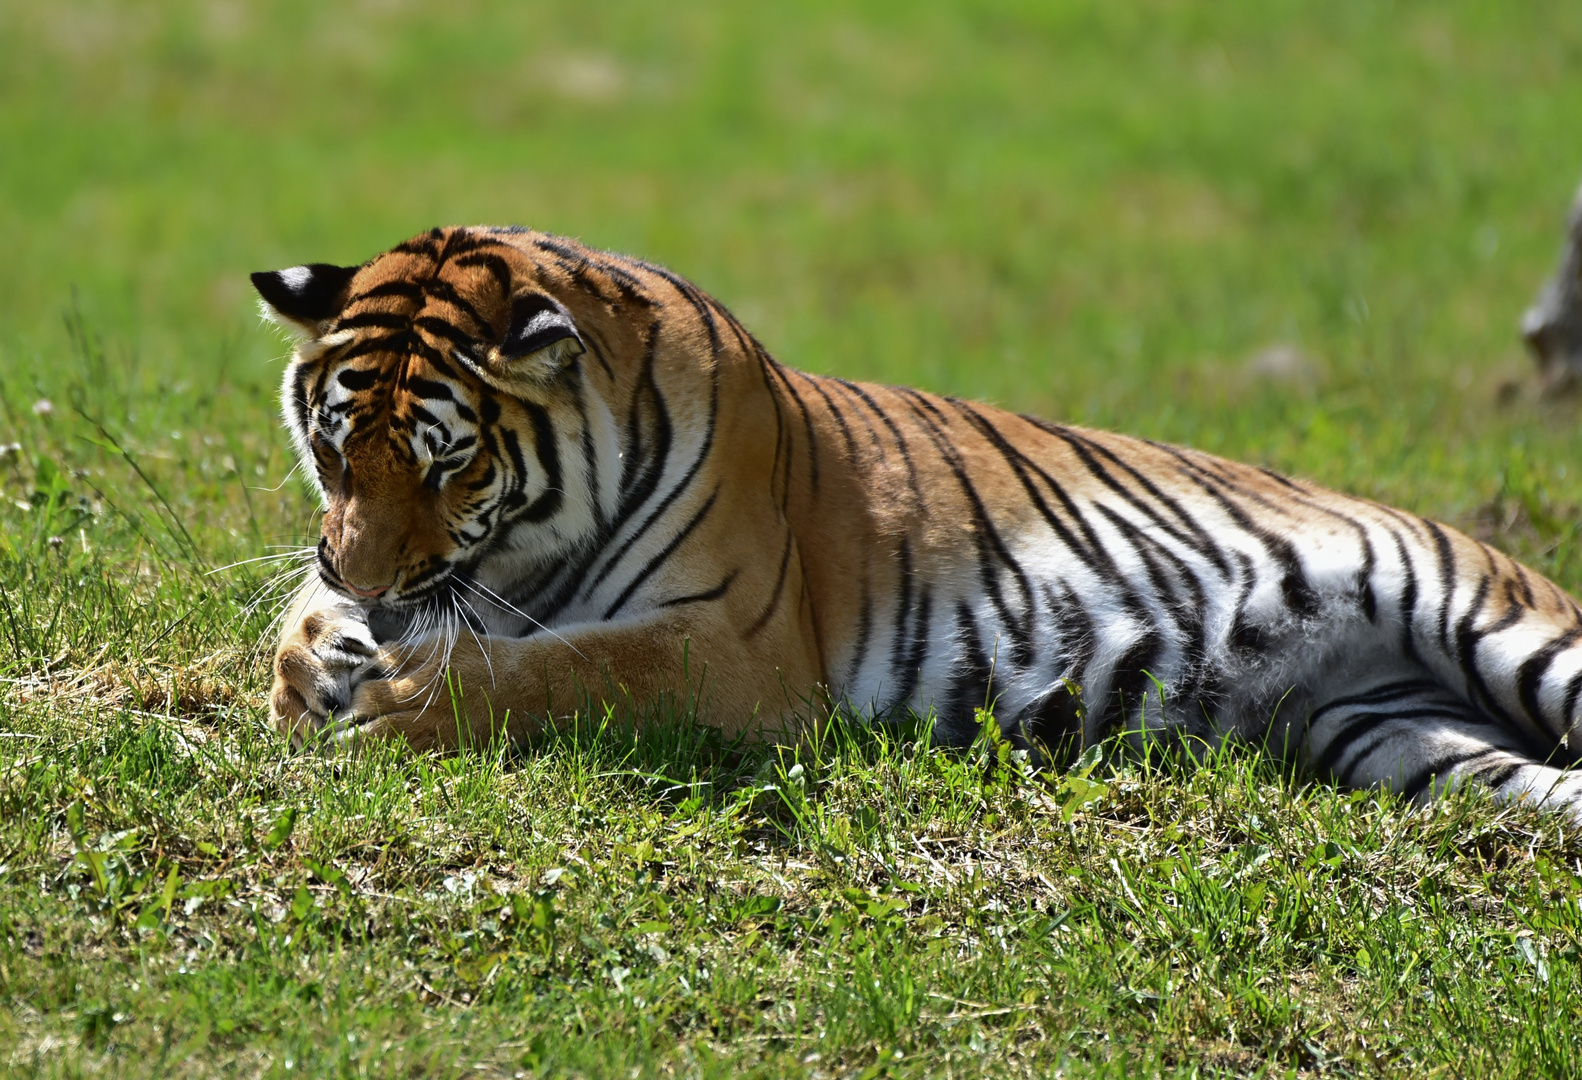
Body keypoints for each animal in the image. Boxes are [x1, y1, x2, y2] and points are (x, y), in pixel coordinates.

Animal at [249, 227, 1582, 822]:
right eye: (335, 447)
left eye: (450, 465)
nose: (372, 581)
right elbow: (308, 607)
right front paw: (318, 655)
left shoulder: (729, 649)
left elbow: (562, 672)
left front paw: (391, 699)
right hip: (1399, 737)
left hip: (1511, 633)